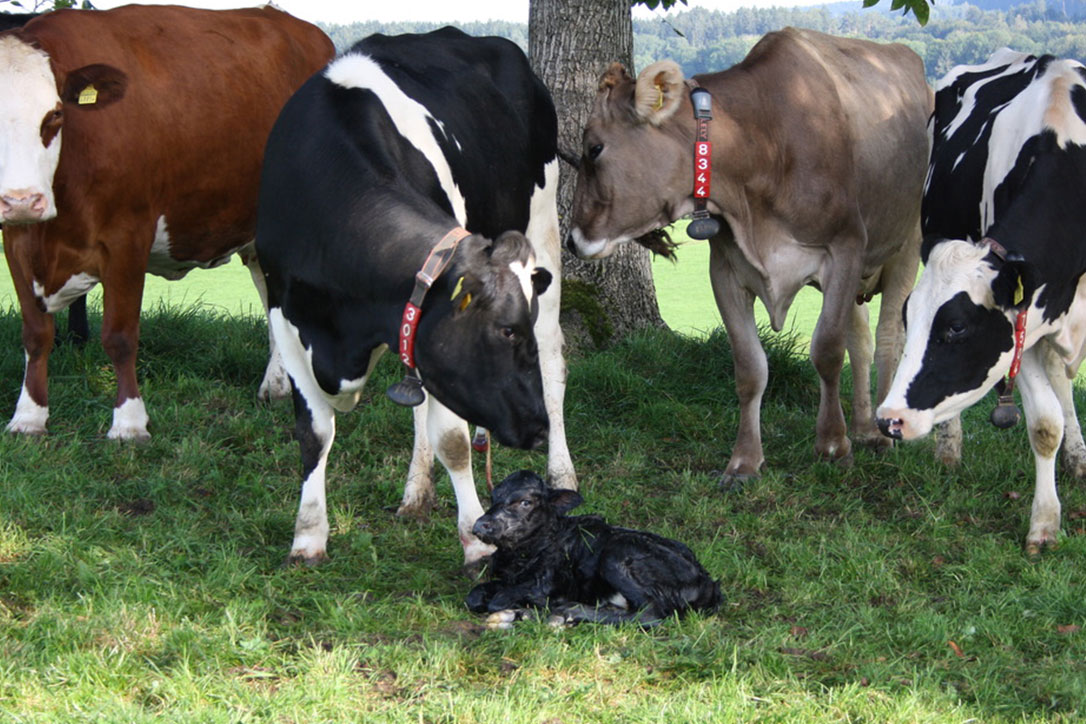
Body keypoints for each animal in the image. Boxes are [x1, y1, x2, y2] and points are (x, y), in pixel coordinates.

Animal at [0, 5, 332, 438]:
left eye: (55, 114)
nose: (22, 200)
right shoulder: (17, 239)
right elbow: (36, 334)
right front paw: (28, 416)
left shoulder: (126, 236)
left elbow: (120, 335)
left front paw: (129, 423)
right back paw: (277, 384)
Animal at [255, 28, 573, 568]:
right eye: (505, 331)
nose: (537, 429)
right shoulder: (287, 314)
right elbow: (314, 433)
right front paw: (308, 537)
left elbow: (453, 441)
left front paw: (475, 542)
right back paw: (416, 494)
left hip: (544, 223)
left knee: (553, 361)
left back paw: (562, 471)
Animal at [464, 473, 721, 625]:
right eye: (493, 497)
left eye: (526, 502)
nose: (480, 525)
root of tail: (707, 581)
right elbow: (474, 595)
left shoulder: (547, 582)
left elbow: (500, 599)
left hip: (616, 556)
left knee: (651, 613)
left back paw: (568, 611)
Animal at [564, 26, 929, 481]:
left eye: (595, 148)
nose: (571, 239)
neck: (760, 139)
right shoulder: (726, 269)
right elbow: (750, 367)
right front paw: (744, 462)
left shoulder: (845, 247)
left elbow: (827, 350)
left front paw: (832, 445)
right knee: (860, 339)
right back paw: (862, 427)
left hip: (906, 245)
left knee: (887, 339)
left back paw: (882, 433)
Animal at [877, 48, 1086, 551]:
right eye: (909, 318)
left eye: (957, 326)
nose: (889, 420)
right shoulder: (1022, 324)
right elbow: (1044, 424)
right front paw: (1045, 525)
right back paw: (949, 448)